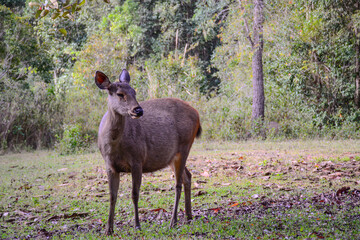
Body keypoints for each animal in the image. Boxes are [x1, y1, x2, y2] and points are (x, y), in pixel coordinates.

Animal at [94, 69, 201, 234]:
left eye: (134, 92)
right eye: (120, 94)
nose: (138, 110)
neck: (114, 147)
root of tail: (197, 114)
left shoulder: (137, 159)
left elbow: (135, 194)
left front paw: (137, 225)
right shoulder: (110, 165)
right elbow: (112, 196)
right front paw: (108, 229)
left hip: (185, 145)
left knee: (178, 183)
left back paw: (173, 221)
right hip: (171, 156)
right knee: (187, 176)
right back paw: (188, 217)